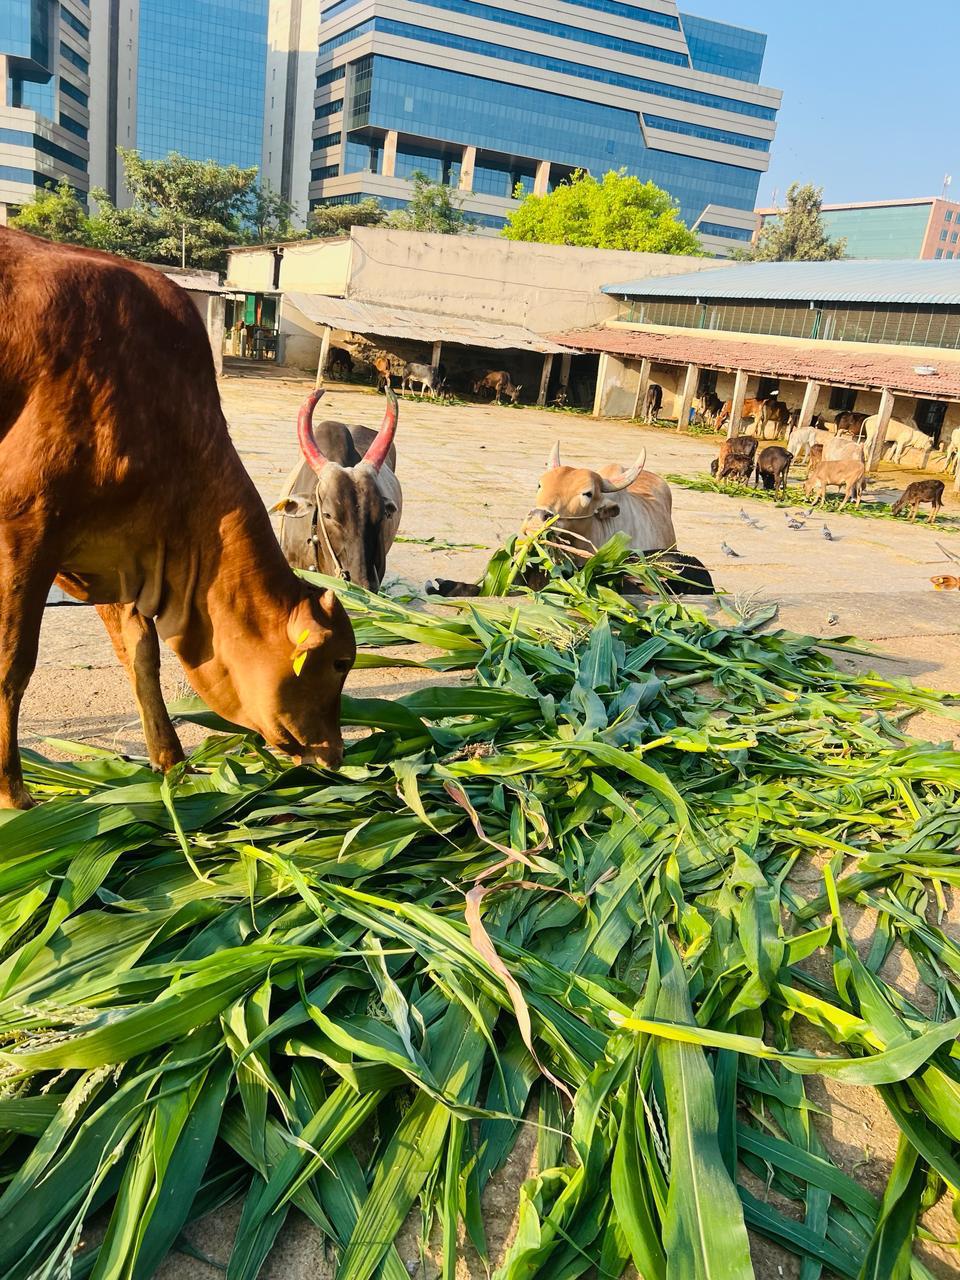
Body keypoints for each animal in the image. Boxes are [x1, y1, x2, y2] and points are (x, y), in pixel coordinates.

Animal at [0, 227, 355, 809]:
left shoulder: (114, 552)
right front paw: (15, 795)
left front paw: (171, 761)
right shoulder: (27, 527)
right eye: (340, 662)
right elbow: (14, 665)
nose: (337, 751)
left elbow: (141, 656)